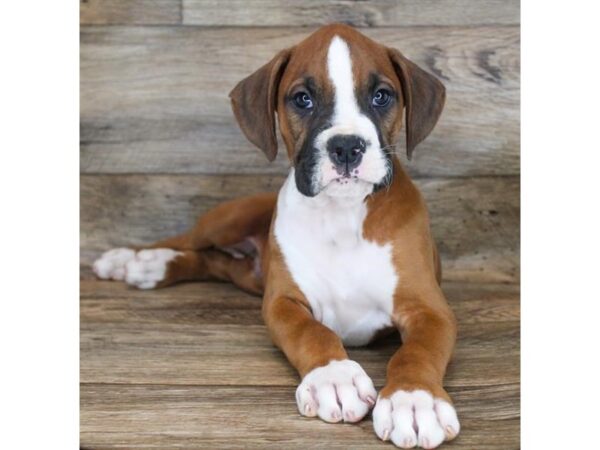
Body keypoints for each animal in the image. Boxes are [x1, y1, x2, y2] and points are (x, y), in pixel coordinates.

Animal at [94, 24, 460, 450]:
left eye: (381, 95)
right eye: (303, 99)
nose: (346, 146)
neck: (342, 214)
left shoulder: (428, 308)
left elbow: (416, 351)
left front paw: (414, 400)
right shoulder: (283, 301)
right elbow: (311, 332)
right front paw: (334, 377)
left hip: (246, 273)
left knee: (212, 261)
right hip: (228, 220)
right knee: (190, 241)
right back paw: (133, 260)